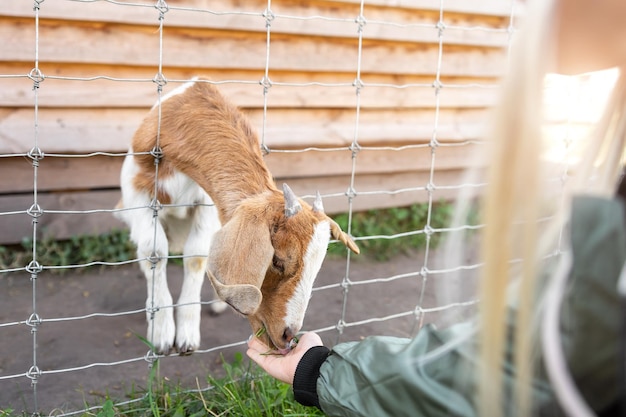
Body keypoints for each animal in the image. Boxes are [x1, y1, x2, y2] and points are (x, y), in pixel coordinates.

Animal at [114, 79, 358, 354]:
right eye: (277, 261)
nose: (288, 335)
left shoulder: (207, 204)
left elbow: (197, 256)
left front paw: (186, 336)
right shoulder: (136, 192)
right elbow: (154, 252)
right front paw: (162, 333)